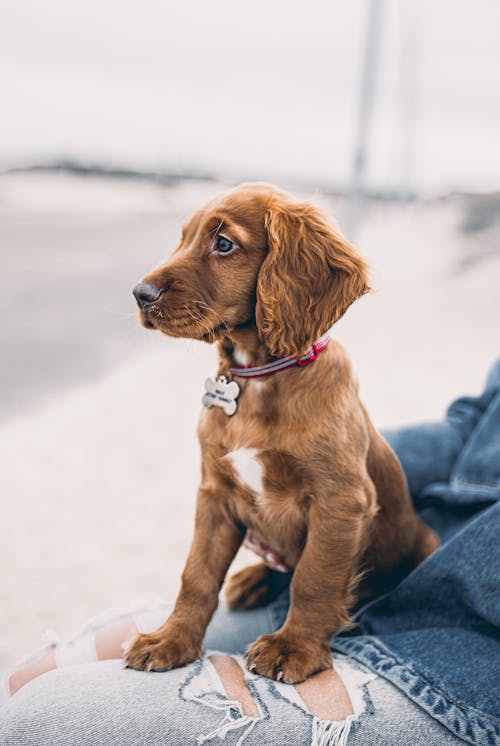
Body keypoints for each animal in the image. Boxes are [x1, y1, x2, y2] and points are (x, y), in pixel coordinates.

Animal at [126, 185, 442, 680]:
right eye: (183, 238)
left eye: (223, 244)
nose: (140, 293)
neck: (259, 378)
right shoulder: (215, 493)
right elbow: (196, 574)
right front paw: (171, 640)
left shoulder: (340, 501)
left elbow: (314, 578)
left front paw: (293, 647)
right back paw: (252, 578)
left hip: (423, 543)